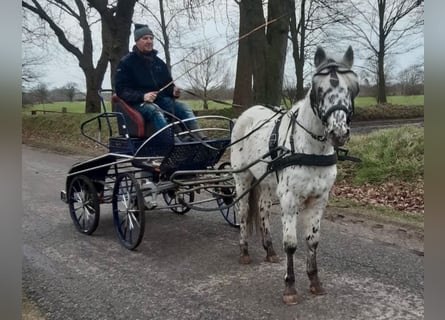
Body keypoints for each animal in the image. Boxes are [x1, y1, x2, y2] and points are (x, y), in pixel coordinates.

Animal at [231, 45, 360, 304]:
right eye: (319, 89)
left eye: (353, 88)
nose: (339, 132)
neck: (310, 149)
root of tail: (247, 113)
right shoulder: (289, 200)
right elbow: (291, 244)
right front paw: (290, 287)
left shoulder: (319, 200)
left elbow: (313, 240)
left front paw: (315, 282)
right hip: (243, 178)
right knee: (243, 211)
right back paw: (244, 251)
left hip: (267, 182)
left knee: (262, 209)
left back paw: (269, 250)